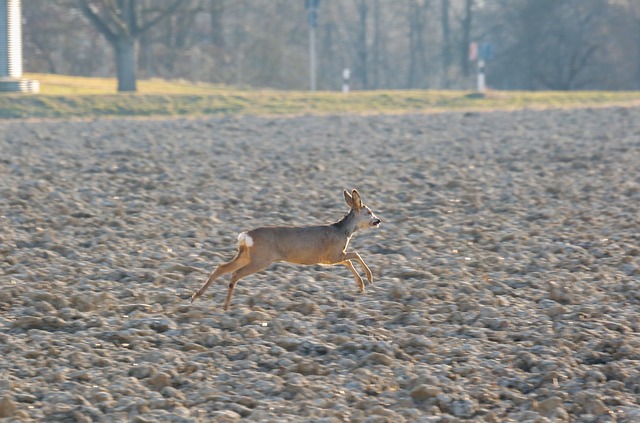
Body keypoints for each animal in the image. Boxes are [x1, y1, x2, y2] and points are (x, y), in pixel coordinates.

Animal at [190, 189, 380, 312]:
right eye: (369, 212)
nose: (378, 220)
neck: (343, 232)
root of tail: (245, 236)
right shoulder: (332, 254)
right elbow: (355, 255)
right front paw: (368, 279)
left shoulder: (330, 258)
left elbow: (349, 261)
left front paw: (361, 285)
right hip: (261, 258)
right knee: (235, 274)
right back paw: (225, 307)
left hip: (246, 255)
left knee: (221, 267)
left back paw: (196, 297)